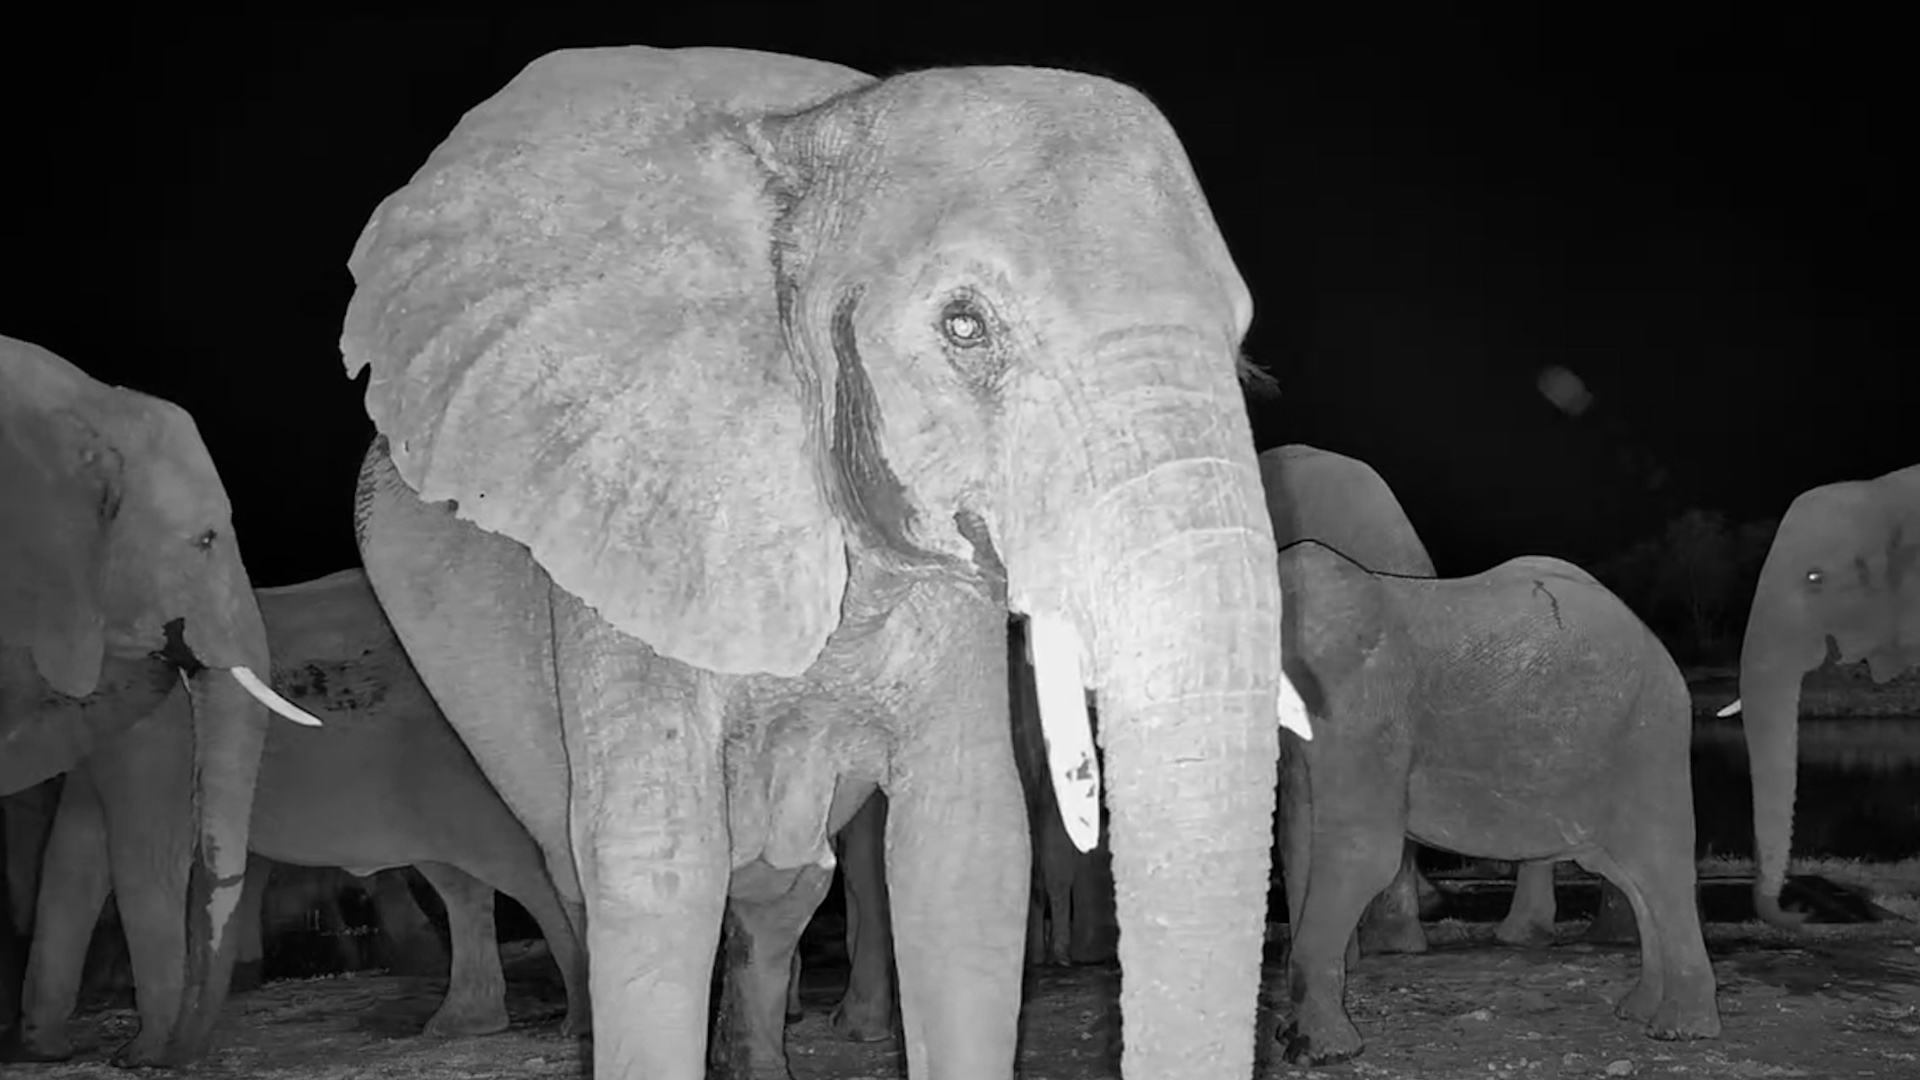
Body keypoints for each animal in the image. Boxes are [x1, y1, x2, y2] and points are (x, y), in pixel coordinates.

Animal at [10, 568, 588, 1057]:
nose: (179, 1053)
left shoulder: (157, 734)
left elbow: (142, 859)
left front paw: (138, 1058)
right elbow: (73, 857)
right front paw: (46, 1049)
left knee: (525, 870)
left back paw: (575, 1025)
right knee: (459, 880)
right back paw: (460, 1026)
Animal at [341, 45, 1304, 1080]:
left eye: (1241, 350)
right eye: (964, 326)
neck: (811, 129)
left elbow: (963, 849)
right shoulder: (624, 503)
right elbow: (657, 858)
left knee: (785, 891)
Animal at [1274, 541, 1725, 1065]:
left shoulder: (1365, 718)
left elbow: (1362, 854)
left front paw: (1320, 1054)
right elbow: (1298, 845)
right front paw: (1293, 1038)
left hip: (1649, 740)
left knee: (1657, 863)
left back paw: (1680, 1031)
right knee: (1627, 873)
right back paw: (1637, 1013)